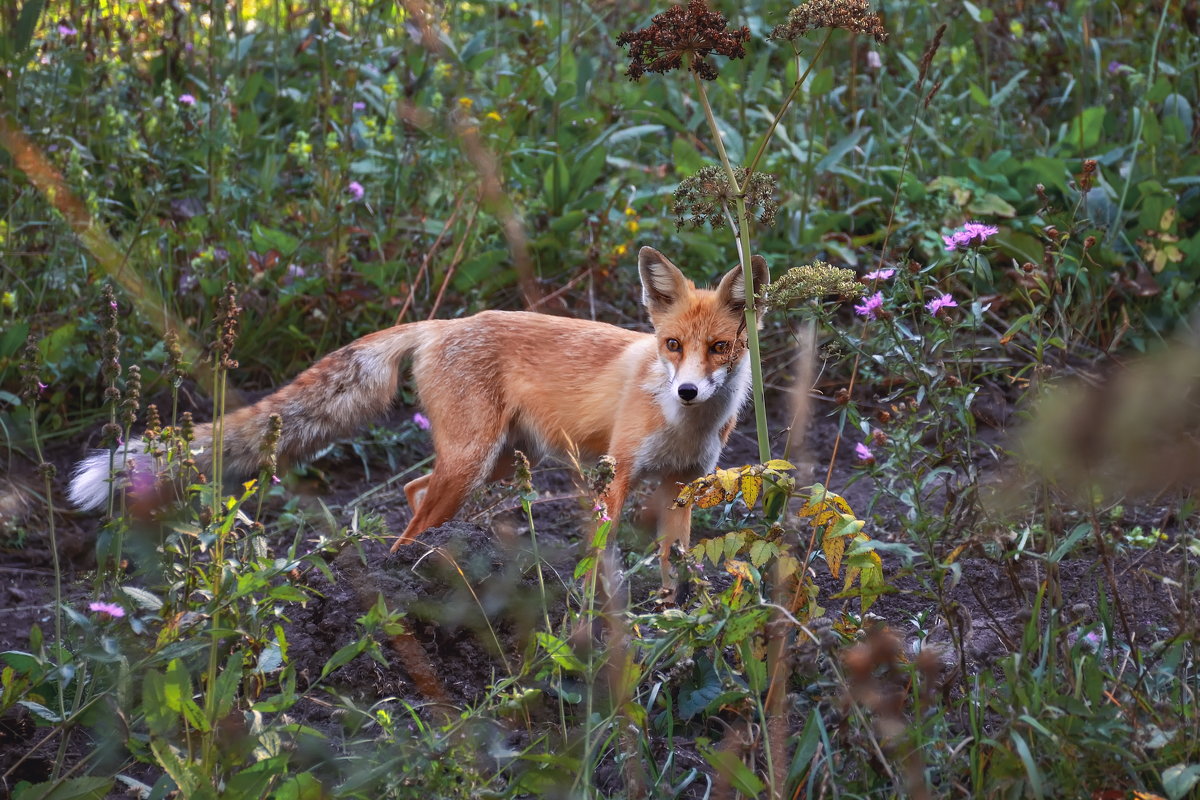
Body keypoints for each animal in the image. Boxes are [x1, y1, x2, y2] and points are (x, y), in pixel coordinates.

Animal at [72, 247, 768, 585]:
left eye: (719, 348)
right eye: (672, 345)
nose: (687, 391)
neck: (684, 426)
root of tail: (443, 323)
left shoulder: (683, 483)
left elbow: (677, 560)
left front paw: (678, 611)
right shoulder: (617, 472)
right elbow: (602, 552)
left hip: (494, 462)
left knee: (410, 490)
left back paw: (429, 563)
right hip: (474, 462)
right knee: (409, 516)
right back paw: (397, 575)